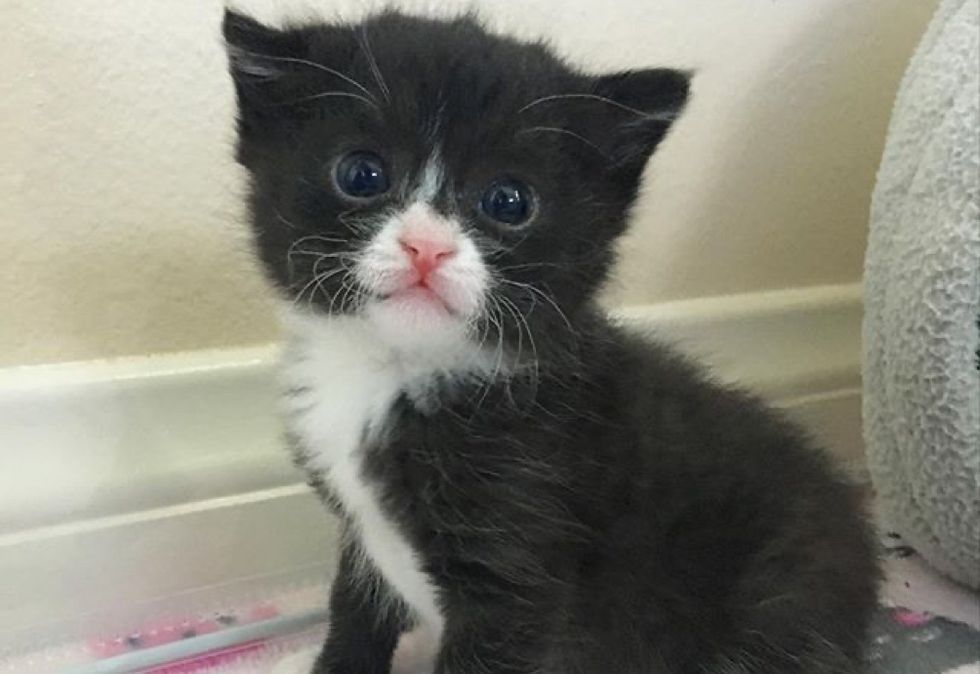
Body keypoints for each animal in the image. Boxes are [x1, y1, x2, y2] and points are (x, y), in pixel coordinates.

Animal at [224, 10, 880, 672]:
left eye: (508, 201)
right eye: (361, 173)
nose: (426, 248)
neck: (396, 369)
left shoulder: (519, 564)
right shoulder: (361, 529)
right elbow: (355, 606)